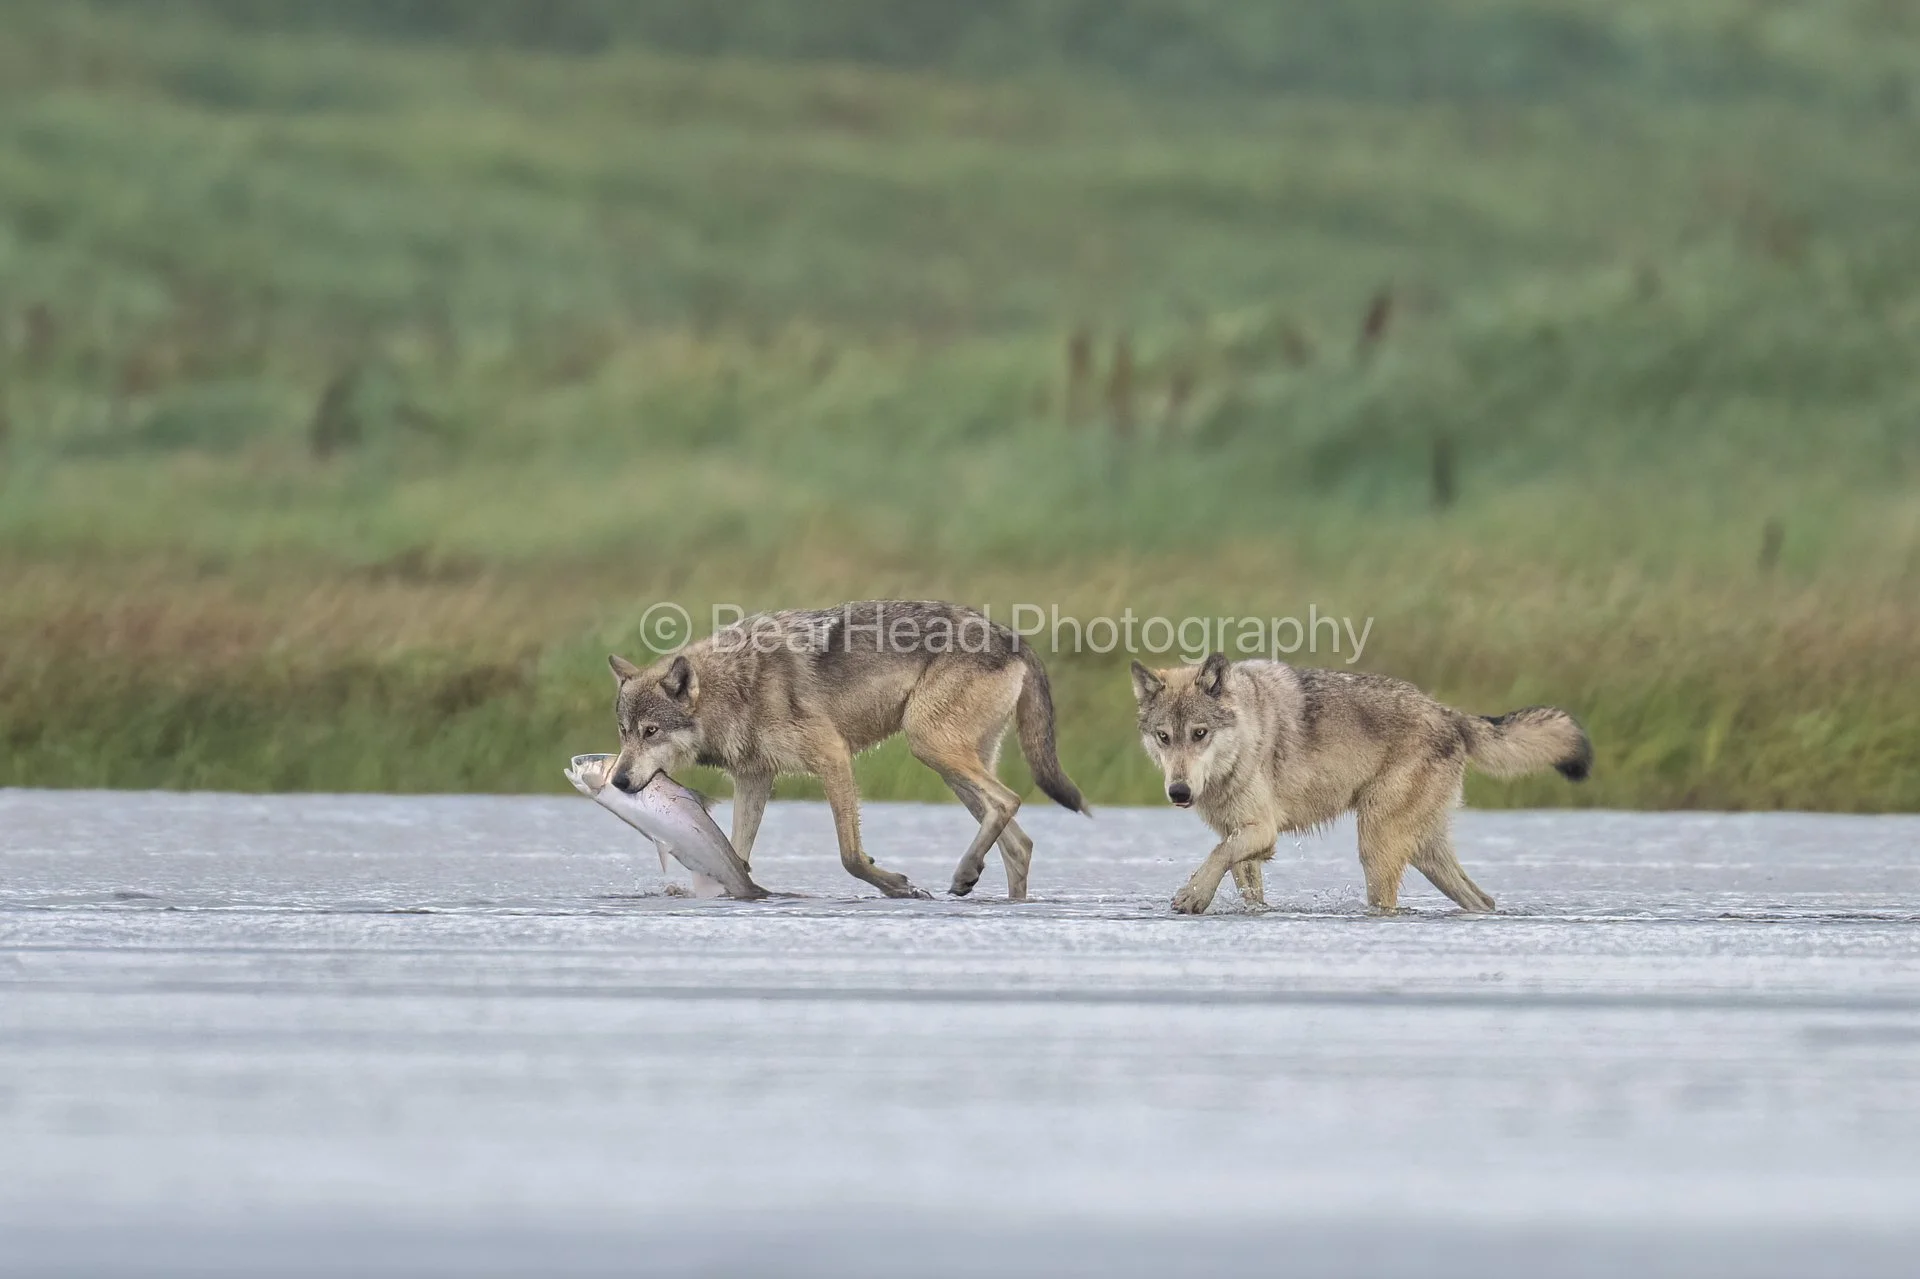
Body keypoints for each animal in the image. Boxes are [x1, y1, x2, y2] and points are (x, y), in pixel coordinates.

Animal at [606, 601, 1088, 901]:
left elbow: (850, 855)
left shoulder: (833, 756)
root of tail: (1014, 636)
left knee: (1009, 801)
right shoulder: (755, 778)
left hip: (928, 744)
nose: (618, 780)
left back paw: (964, 872)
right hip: (949, 766)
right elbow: (736, 855)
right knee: (1019, 843)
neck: (737, 687)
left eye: (651, 732)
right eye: (624, 733)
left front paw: (897, 886)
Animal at [1131, 653, 1590, 914]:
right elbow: (1240, 879)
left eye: (1200, 734)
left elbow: (1214, 857)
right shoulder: (1241, 837)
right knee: (1483, 900)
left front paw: (1192, 897)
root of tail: (1448, 713)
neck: (1247, 733)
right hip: (1425, 854)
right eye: (1164, 737)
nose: (1179, 793)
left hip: (1376, 845)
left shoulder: (1262, 831)